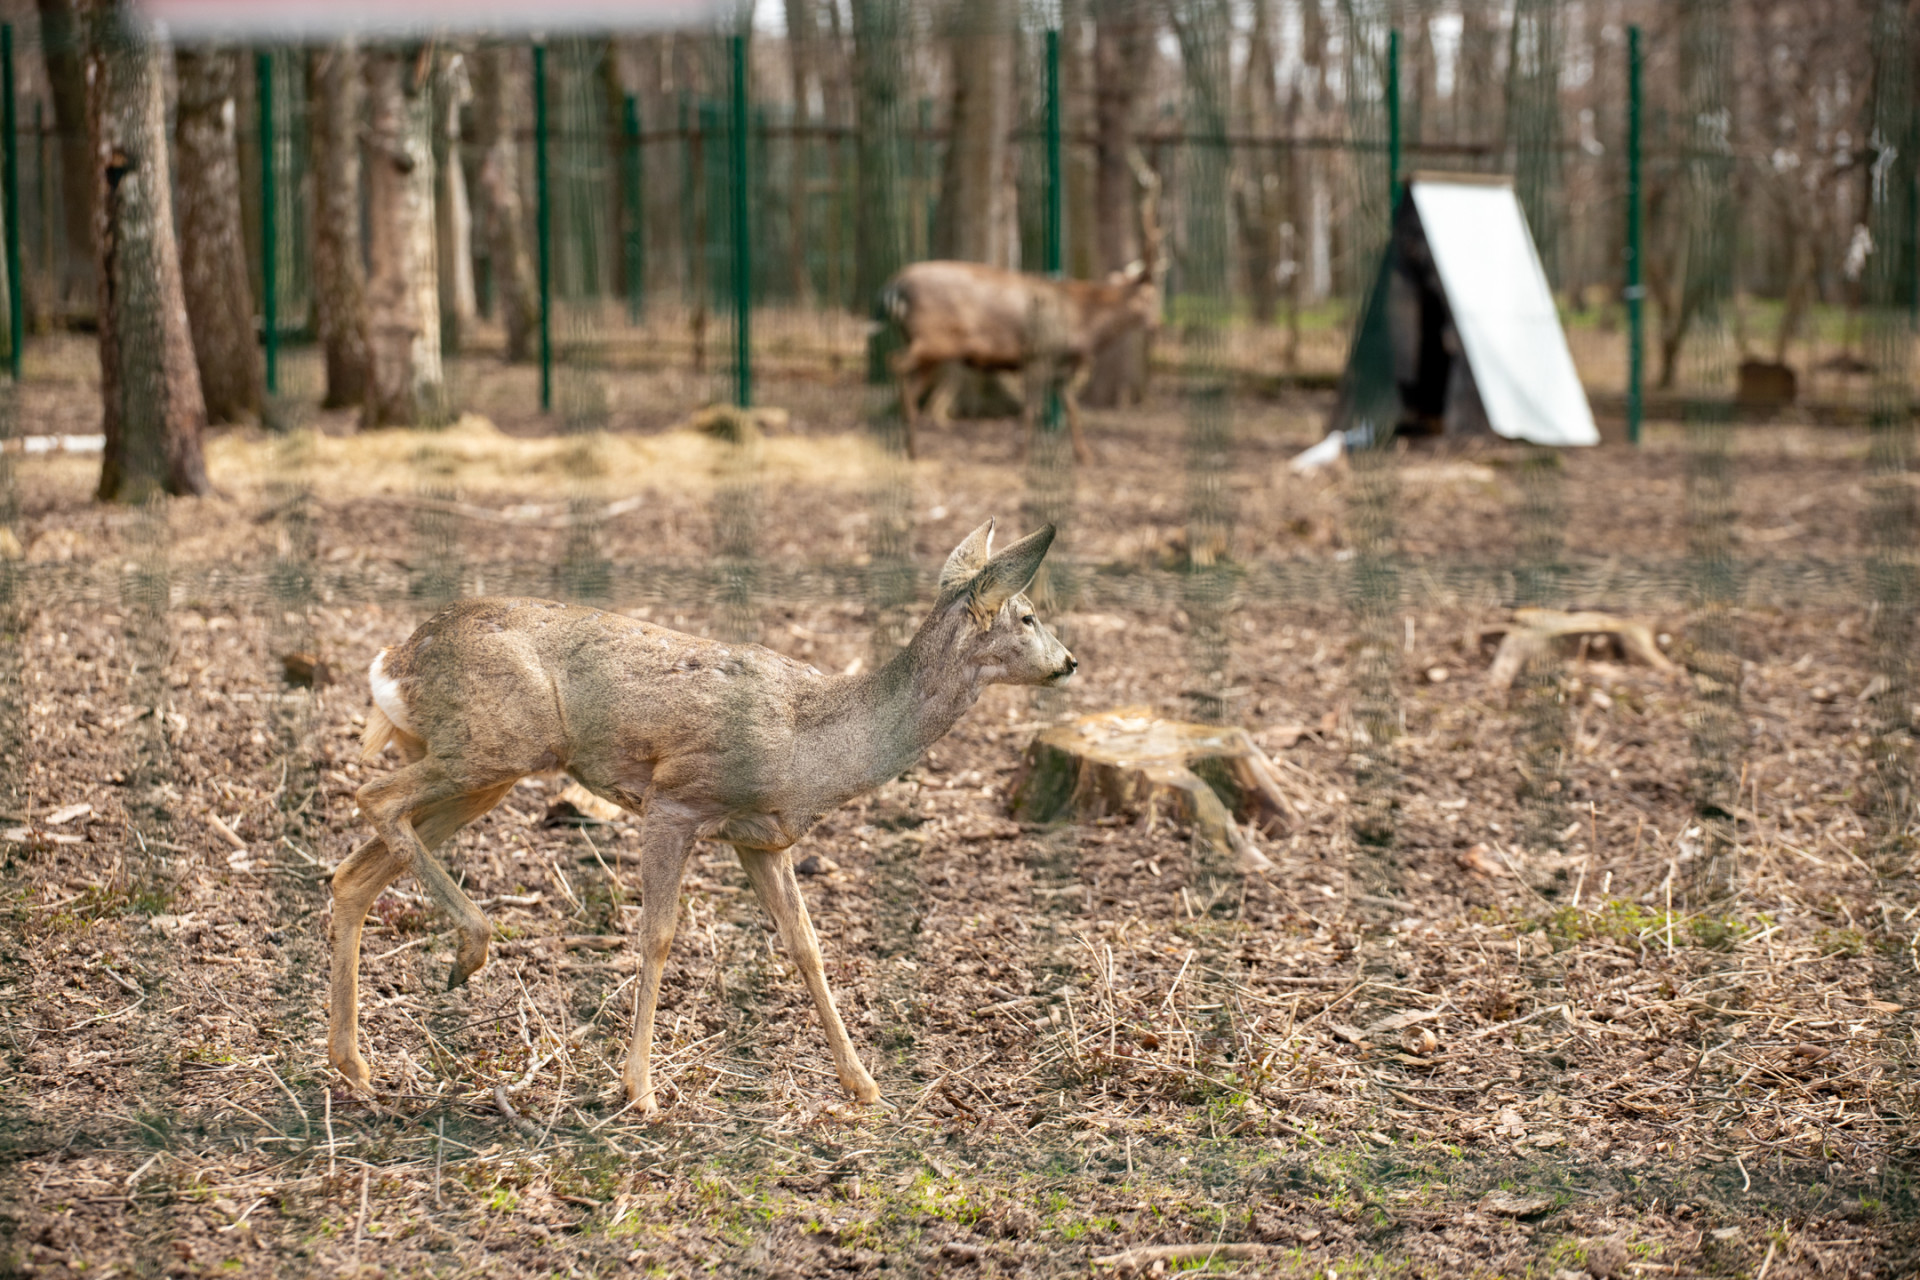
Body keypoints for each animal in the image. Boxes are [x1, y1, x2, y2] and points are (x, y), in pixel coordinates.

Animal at [336, 518, 1075, 1113]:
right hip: (498, 744)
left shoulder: (765, 839)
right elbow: (658, 936)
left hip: (485, 767)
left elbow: (807, 946)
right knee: (373, 799)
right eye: (1028, 616)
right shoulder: (675, 801)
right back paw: (468, 952)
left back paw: (355, 1064)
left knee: (355, 870)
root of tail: (393, 660)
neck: (814, 748)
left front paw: (863, 1084)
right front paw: (640, 1089)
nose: (1069, 662)